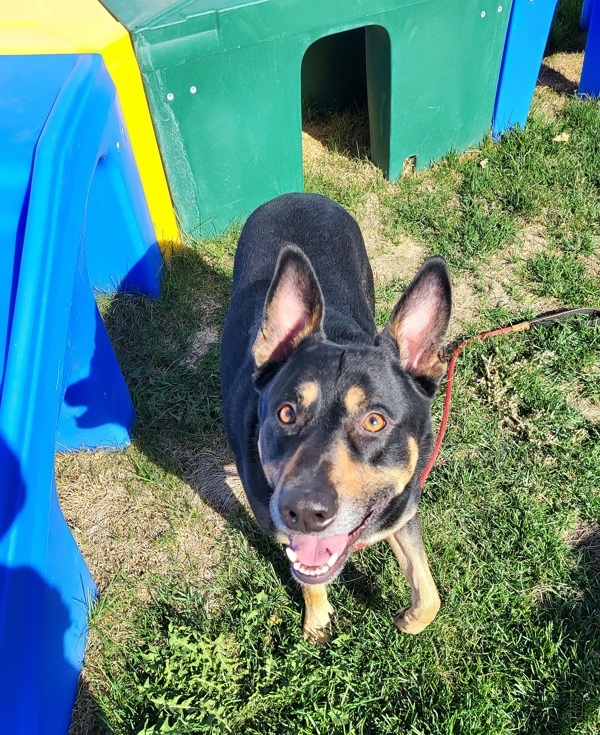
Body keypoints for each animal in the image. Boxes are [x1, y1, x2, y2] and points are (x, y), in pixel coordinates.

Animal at [220, 191, 450, 644]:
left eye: (375, 421)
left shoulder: (403, 511)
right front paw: (317, 621)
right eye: (286, 413)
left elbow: (429, 596)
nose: (305, 512)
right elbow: (309, 578)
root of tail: (298, 194)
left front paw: (408, 620)